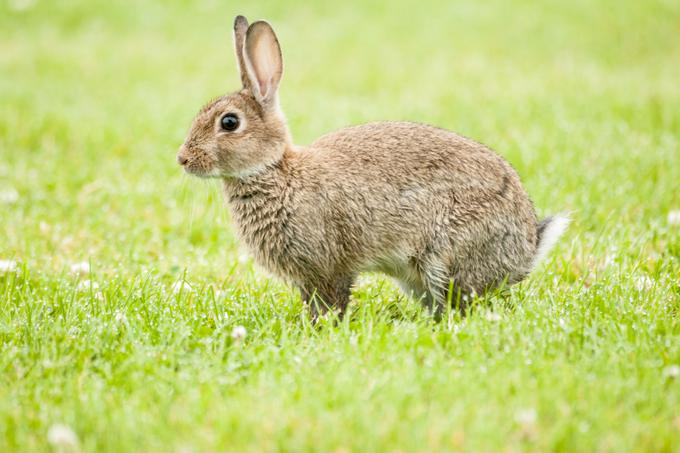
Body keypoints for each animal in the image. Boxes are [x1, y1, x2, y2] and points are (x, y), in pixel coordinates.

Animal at [177, 15, 568, 318]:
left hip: (445, 257)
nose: (182, 159)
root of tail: (527, 250)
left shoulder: (329, 264)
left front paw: (323, 329)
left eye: (229, 123)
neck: (276, 172)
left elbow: (333, 300)